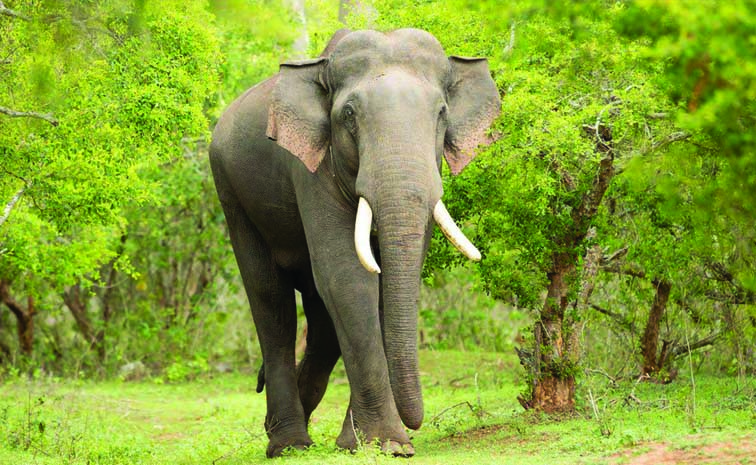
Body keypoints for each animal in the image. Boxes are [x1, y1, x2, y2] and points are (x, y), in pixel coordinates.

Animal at [209, 28, 500, 457]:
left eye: (441, 114)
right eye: (348, 115)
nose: (416, 424)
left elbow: (381, 286)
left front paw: (370, 444)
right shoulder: (311, 169)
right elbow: (347, 276)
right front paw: (388, 444)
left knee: (321, 321)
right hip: (230, 192)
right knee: (271, 302)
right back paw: (289, 444)